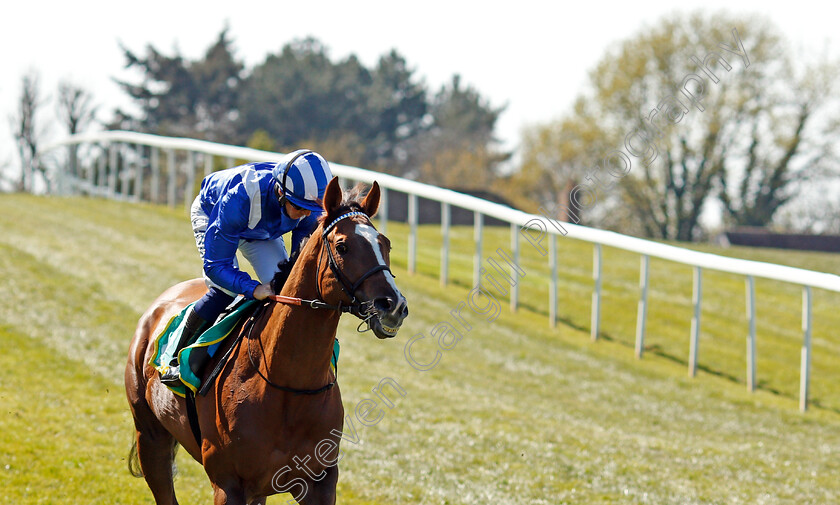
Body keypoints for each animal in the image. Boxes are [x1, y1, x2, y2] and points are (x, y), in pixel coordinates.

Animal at [125, 179, 410, 502]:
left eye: (386, 244)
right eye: (342, 246)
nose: (394, 306)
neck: (289, 387)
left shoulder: (318, 481)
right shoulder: (228, 483)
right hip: (150, 436)